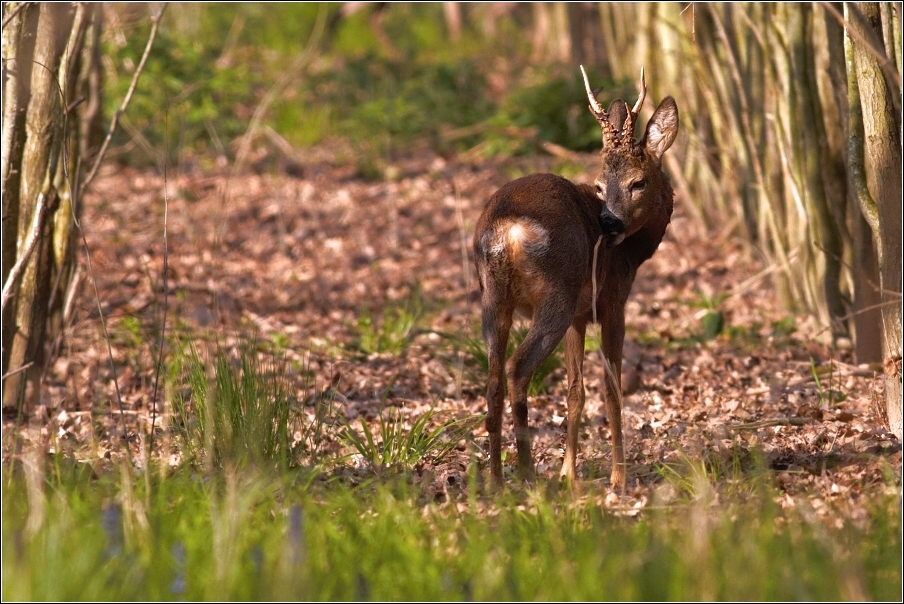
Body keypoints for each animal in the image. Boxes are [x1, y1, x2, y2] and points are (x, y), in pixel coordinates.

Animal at [474, 67, 680, 490]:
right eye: (601, 185)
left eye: (638, 182)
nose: (609, 222)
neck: (632, 253)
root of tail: (506, 230)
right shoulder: (612, 302)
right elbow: (612, 390)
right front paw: (618, 477)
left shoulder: (579, 316)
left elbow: (575, 392)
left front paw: (568, 472)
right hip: (557, 291)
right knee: (517, 368)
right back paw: (527, 473)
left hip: (494, 296)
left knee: (493, 379)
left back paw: (497, 481)